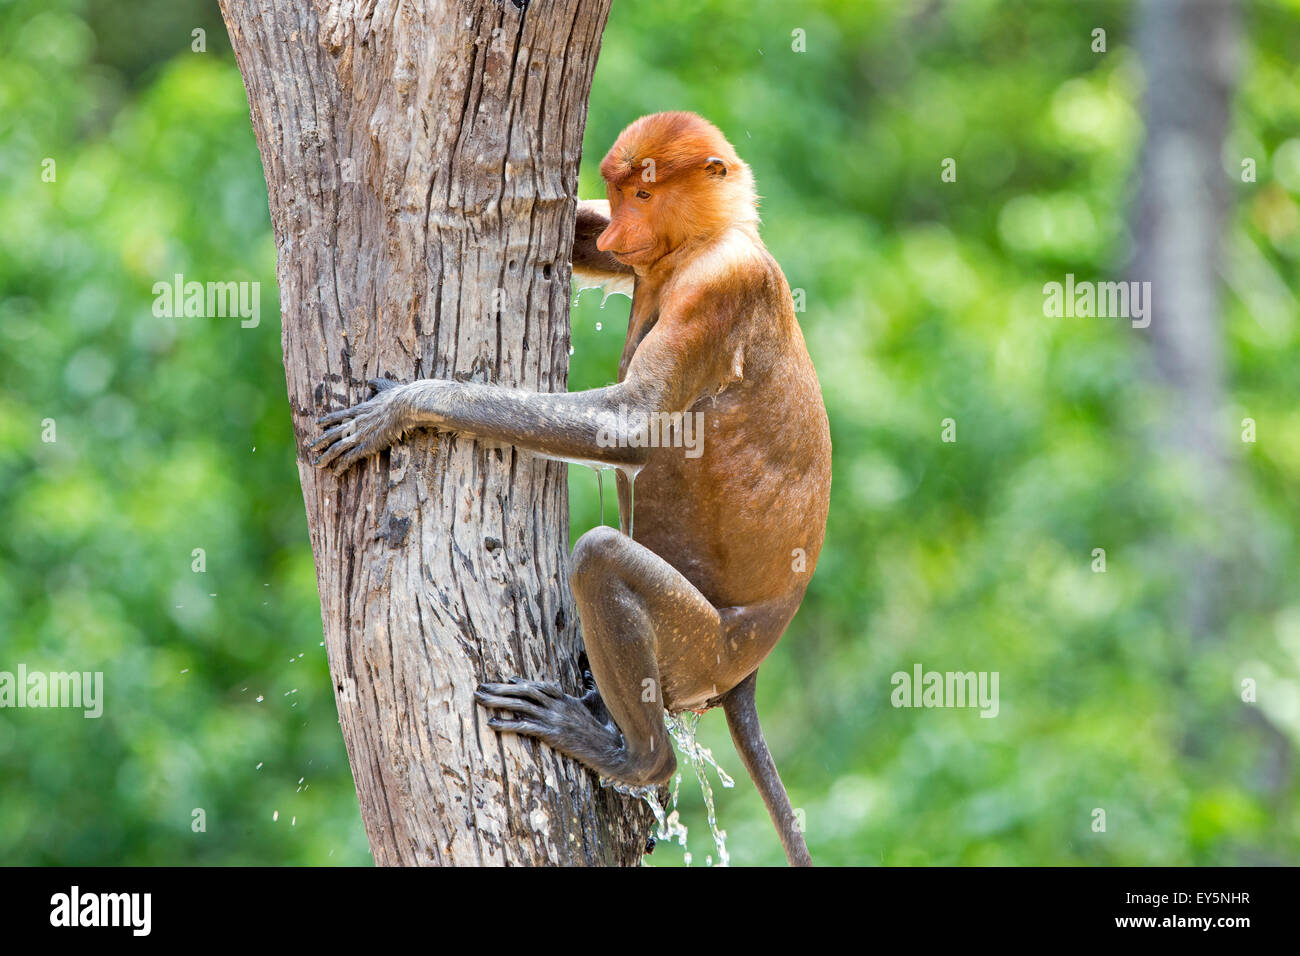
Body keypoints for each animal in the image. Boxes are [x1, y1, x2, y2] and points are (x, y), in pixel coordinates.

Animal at [310, 112, 831, 866]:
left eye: (645, 194)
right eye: (617, 194)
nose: (620, 235)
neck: (706, 239)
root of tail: (746, 672)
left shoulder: (717, 289)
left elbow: (630, 426)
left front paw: (406, 406)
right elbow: (572, 230)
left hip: (702, 649)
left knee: (601, 558)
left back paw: (638, 757)